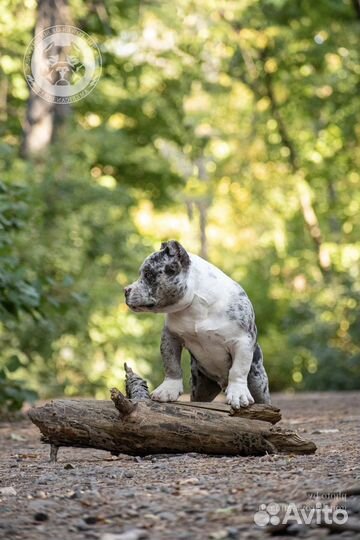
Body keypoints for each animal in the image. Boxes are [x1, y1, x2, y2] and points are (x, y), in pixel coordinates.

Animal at [124, 242, 270, 410]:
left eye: (148, 274)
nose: (126, 290)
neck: (195, 304)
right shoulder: (170, 336)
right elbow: (171, 364)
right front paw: (168, 390)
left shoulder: (242, 341)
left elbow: (238, 369)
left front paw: (238, 393)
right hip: (200, 387)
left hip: (258, 383)